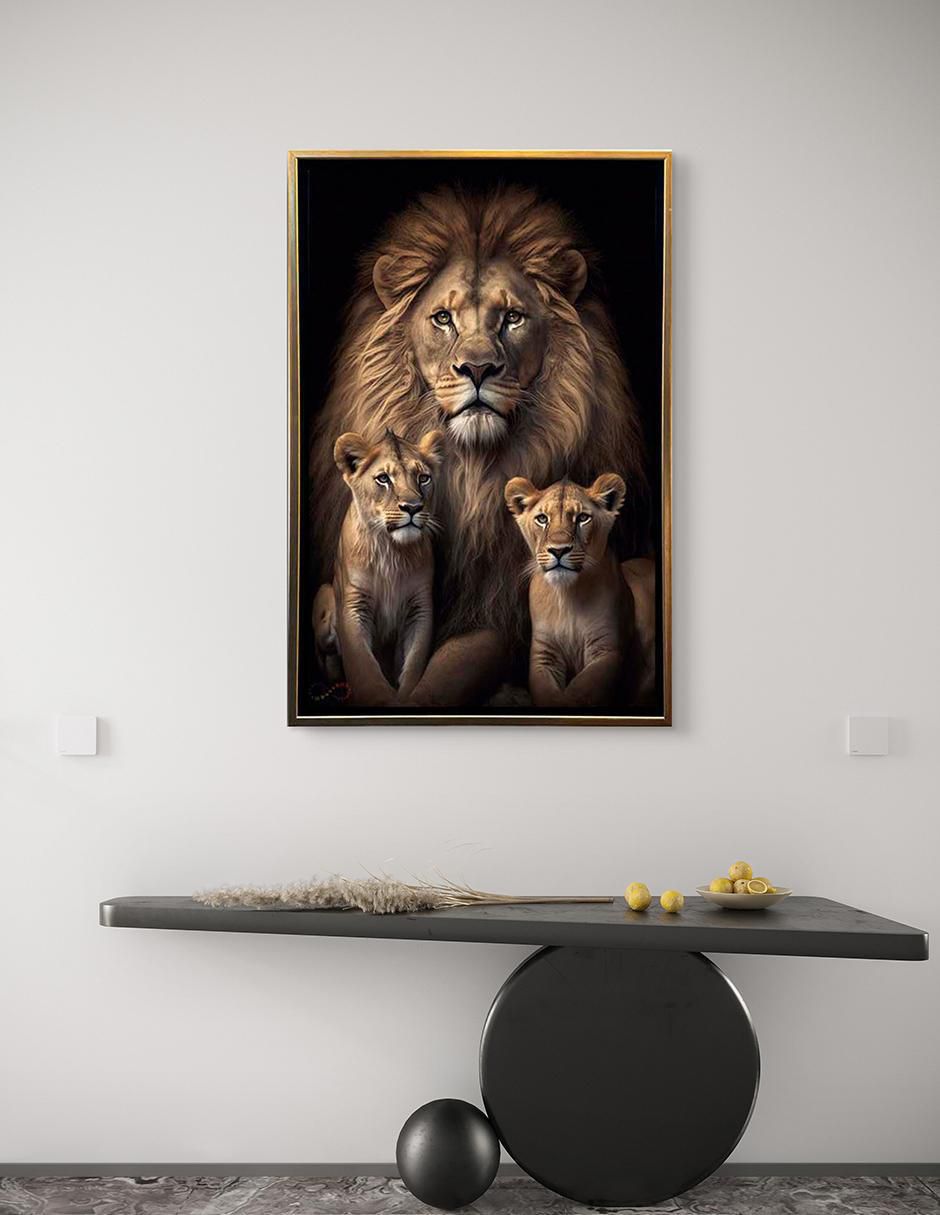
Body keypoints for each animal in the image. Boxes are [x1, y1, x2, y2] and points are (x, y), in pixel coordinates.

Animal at [327, 427, 445, 705]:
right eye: (383, 479)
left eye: (423, 478)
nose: (413, 507)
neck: (391, 552)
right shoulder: (352, 604)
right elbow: (364, 667)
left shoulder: (420, 606)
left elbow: (414, 664)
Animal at [505, 472, 631, 707]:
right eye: (542, 519)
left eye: (582, 518)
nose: (558, 550)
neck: (566, 597)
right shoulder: (543, 654)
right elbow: (546, 693)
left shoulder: (606, 650)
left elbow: (580, 690)